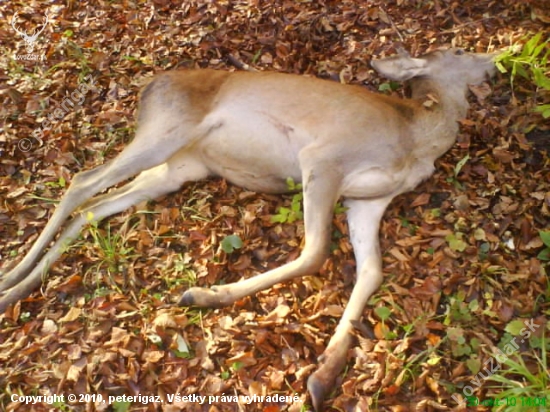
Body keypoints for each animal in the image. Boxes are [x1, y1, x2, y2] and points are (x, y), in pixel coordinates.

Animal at [0, 47, 498, 408]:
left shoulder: (368, 201)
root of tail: (148, 87)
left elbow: (372, 272)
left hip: (181, 166)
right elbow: (315, 252)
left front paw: (324, 375)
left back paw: (20, 284)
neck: (417, 139)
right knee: (82, 182)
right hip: (166, 130)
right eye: (458, 50)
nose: (495, 62)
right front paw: (203, 295)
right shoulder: (323, 158)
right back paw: (11, 281)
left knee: (96, 205)